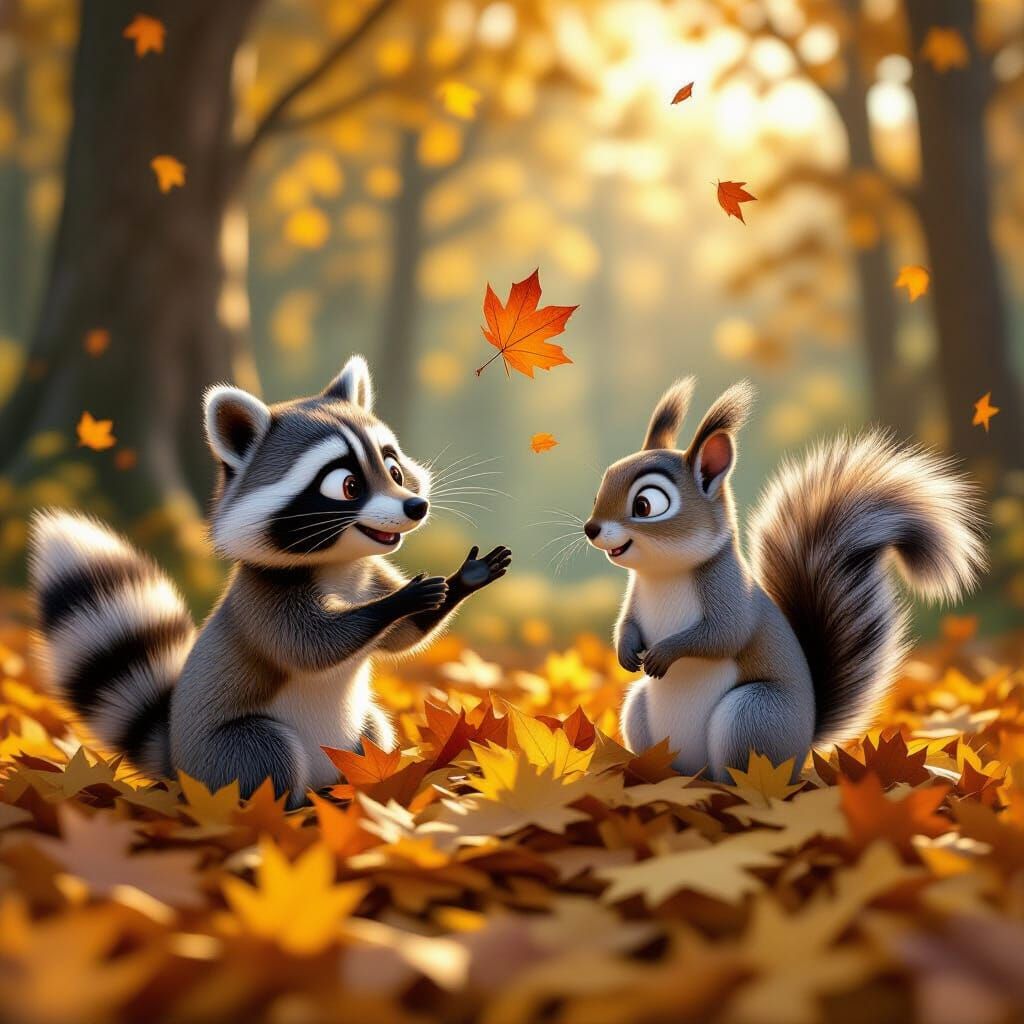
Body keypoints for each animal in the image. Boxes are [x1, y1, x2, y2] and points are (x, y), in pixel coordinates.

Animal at [28, 355, 511, 805]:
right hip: (225, 754)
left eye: (393, 471)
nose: (416, 507)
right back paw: (291, 809)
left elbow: (402, 639)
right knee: (267, 754)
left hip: (355, 740)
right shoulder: (263, 596)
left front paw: (463, 580)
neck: (339, 565)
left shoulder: (371, 573)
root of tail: (179, 765)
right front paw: (399, 602)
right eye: (349, 486)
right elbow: (310, 646)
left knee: (375, 731)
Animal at [583, 377, 985, 779]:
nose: (591, 528)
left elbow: (723, 634)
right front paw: (625, 651)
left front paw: (664, 653)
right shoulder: (635, 595)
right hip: (640, 707)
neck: (664, 573)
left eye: (645, 505)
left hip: (751, 715)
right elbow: (627, 623)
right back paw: (654, 774)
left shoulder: (729, 592)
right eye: (597, 493)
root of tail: (801, 749)